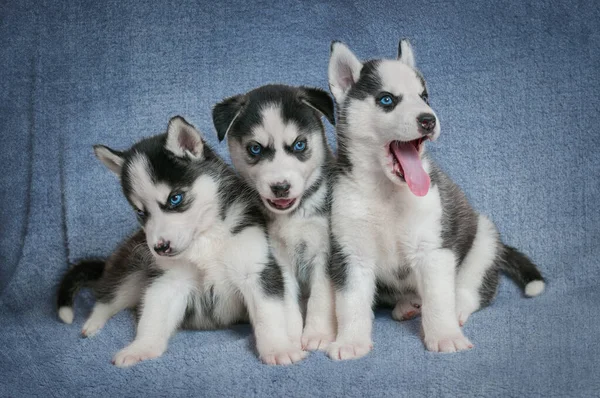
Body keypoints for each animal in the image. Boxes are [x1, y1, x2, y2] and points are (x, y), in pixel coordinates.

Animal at [56, 115, 304, 366]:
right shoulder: (167, 281)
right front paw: (141, 348)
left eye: (175, 198)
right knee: (108, 297)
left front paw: (277, 347)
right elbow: (152, 318)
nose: (160, 248)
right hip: (132, 269)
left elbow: (268, 314)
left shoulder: (255, 270)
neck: (204, 239)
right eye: (141, 212)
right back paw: (93, 323)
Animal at [213, 84, 338, 352]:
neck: (295, 215)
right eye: (255, 148)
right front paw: (289, 336)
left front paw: (318, 333)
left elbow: (321, 296)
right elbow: (285, 299)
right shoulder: (277, 257)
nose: (280, 187)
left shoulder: (324, 251)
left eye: (299, 145)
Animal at [326, 42, 548, 360]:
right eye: (386, 99)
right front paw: (350, 341)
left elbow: (439, 299)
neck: (385, 191)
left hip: (483, 239)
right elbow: (351, 302)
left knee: (470, 291)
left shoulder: (434, 250)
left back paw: (455, 311)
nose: (428, 120)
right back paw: (408, 305)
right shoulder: (351, 254)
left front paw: (444, 336)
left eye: (424, 97)